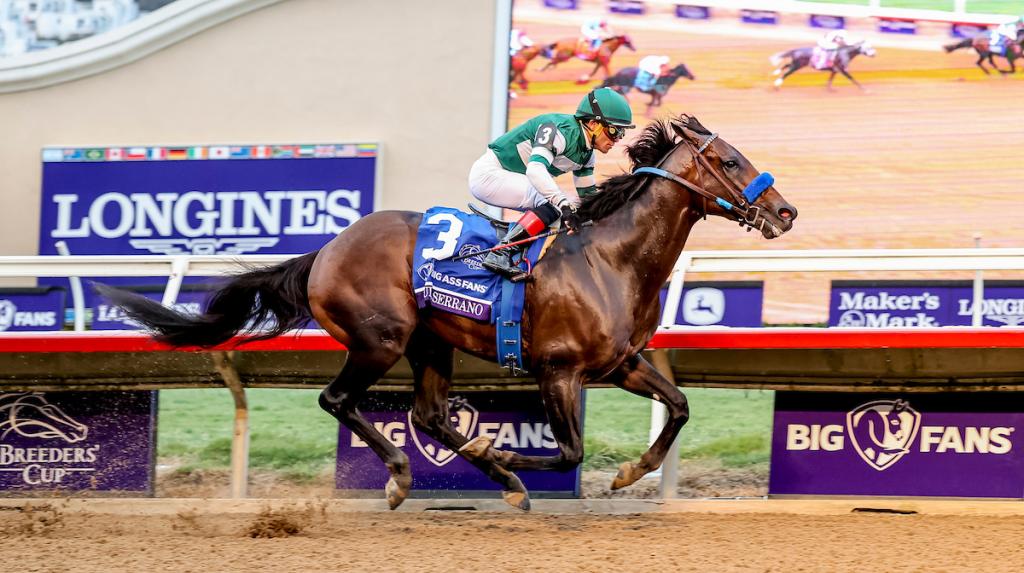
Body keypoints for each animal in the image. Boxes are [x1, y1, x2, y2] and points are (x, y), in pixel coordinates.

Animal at [95, 115, 798, 511]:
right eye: (729, 161)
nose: (786, 211)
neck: (611, 258)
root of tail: (329, 246)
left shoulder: (621, 362)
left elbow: (678, 407)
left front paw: (630, 472)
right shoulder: (558, 370)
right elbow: (567, 451)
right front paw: (511, 457)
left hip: (429, 342)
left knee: (429, 415)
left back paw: (483, 477)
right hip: (380, 340)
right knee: (339, 400)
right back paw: (407, 476)